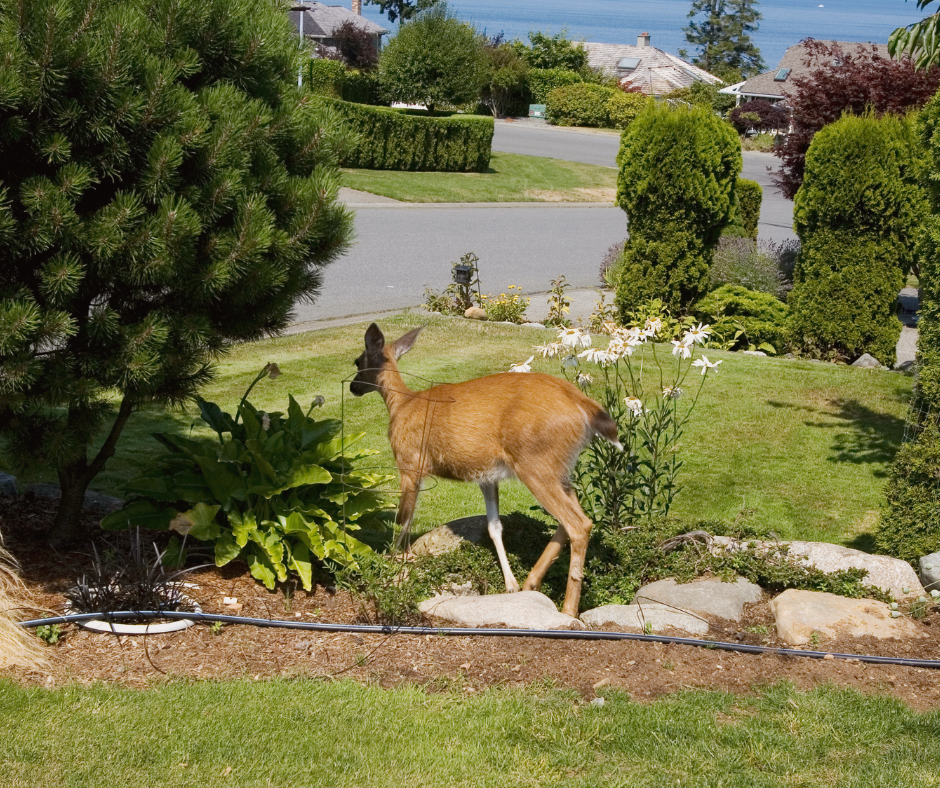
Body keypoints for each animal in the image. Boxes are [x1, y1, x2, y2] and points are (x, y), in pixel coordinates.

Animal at [349, 323, 621, 618]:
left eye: (358, 362)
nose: (353, 387)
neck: (401, 404)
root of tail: (585, 405)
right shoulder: (486, 477)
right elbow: (494, 526)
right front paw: (510, 585)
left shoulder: (409, 462)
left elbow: (403, 520)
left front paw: (395, 564)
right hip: (560, 468)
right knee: (576, 518)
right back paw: (531, 582)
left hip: (535, 463)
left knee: (578, 523)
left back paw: (569, 610)